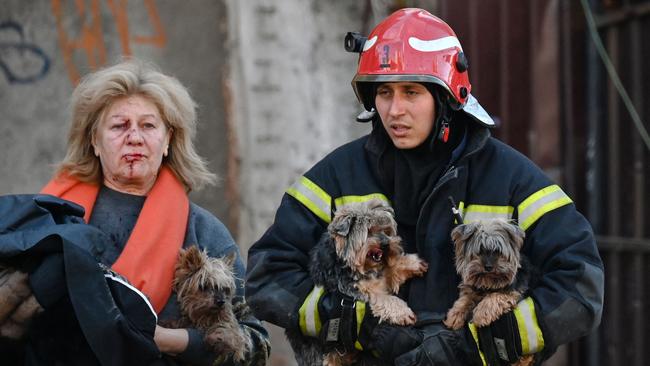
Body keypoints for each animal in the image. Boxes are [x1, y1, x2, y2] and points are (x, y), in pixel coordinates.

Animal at [286, 200, 428, 366]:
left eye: (385, 231)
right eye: (369, 231)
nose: (386, 244)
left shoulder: (378, 274)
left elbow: (389, 269)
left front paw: (411, 264)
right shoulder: (354, 290)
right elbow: (384, 298)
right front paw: (403, 312)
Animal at [442, 219, 536, 364]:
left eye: (498, 251)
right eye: (479, 251)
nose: (488, 266)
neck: (489, 283)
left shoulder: (512, 292)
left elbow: (495, 297)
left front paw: (481, 314)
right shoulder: (473, 289)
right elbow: (465, 299)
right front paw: (455, 315)